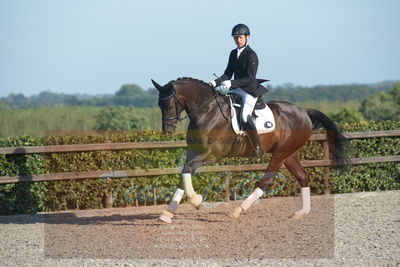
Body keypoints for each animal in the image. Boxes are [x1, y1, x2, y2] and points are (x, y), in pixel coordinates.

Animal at [152, 77, 348, 222]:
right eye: (159, 106)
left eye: (169, 105)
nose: (167, 132)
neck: (207, 111)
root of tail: (303, 111)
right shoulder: (194, 152)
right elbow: (184, 173)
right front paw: (167, 214)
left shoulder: (213, 154)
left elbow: (187, 170)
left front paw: (196, 201)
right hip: (289, 154)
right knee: (303, 176)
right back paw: (301, 213)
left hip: (280, 153)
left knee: (267, 181)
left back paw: (238, 210)